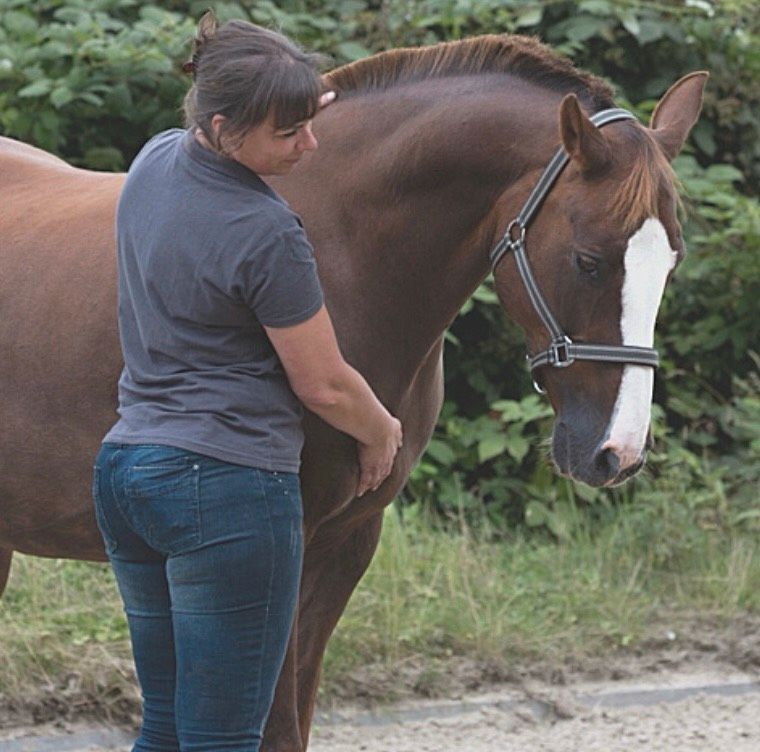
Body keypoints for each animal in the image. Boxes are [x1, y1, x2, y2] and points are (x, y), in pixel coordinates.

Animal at [0, 38, 704, 752]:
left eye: (671, 261)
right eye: (589, 260)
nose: (619, 451)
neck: (343, 252)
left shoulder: (345, 545)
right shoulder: (284, 552)